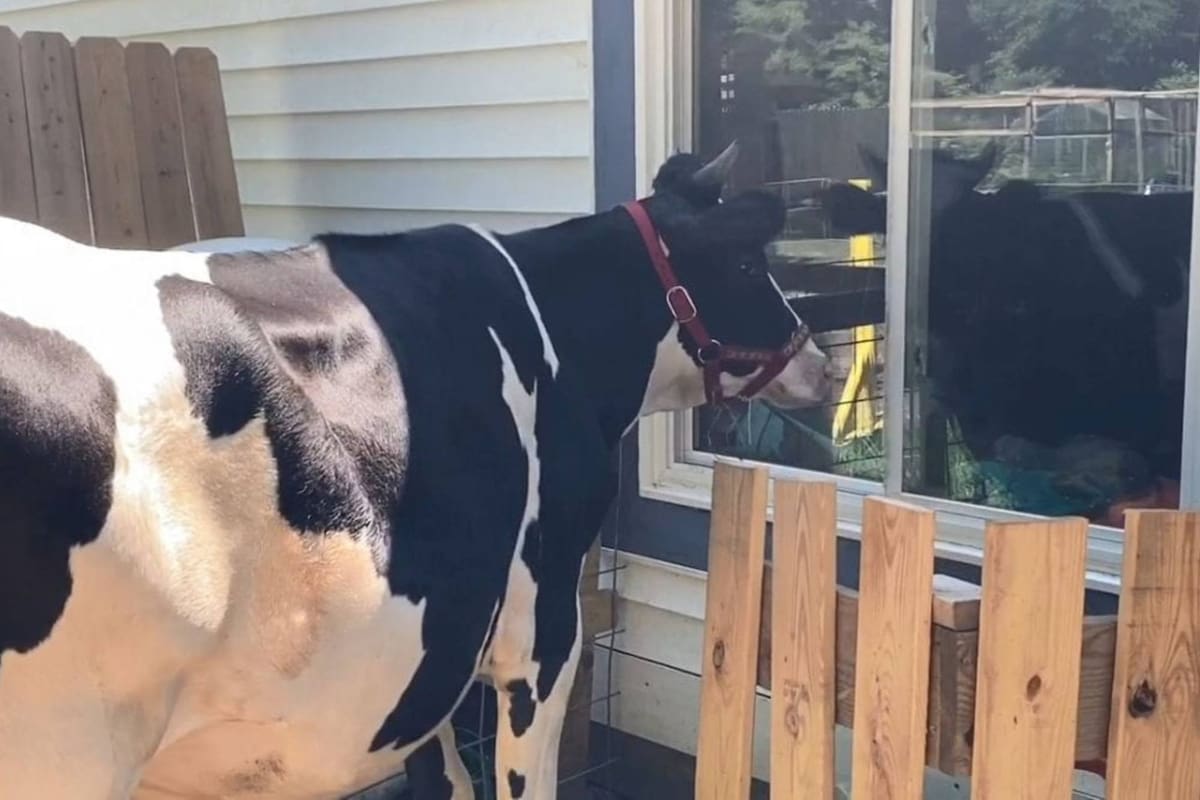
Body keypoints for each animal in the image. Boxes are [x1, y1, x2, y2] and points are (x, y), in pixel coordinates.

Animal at [0, 143, 831, 799]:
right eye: (748, 263)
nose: (821, 363)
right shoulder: (544, 630)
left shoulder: (436, 638)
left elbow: (440, 772)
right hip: (76, 749)